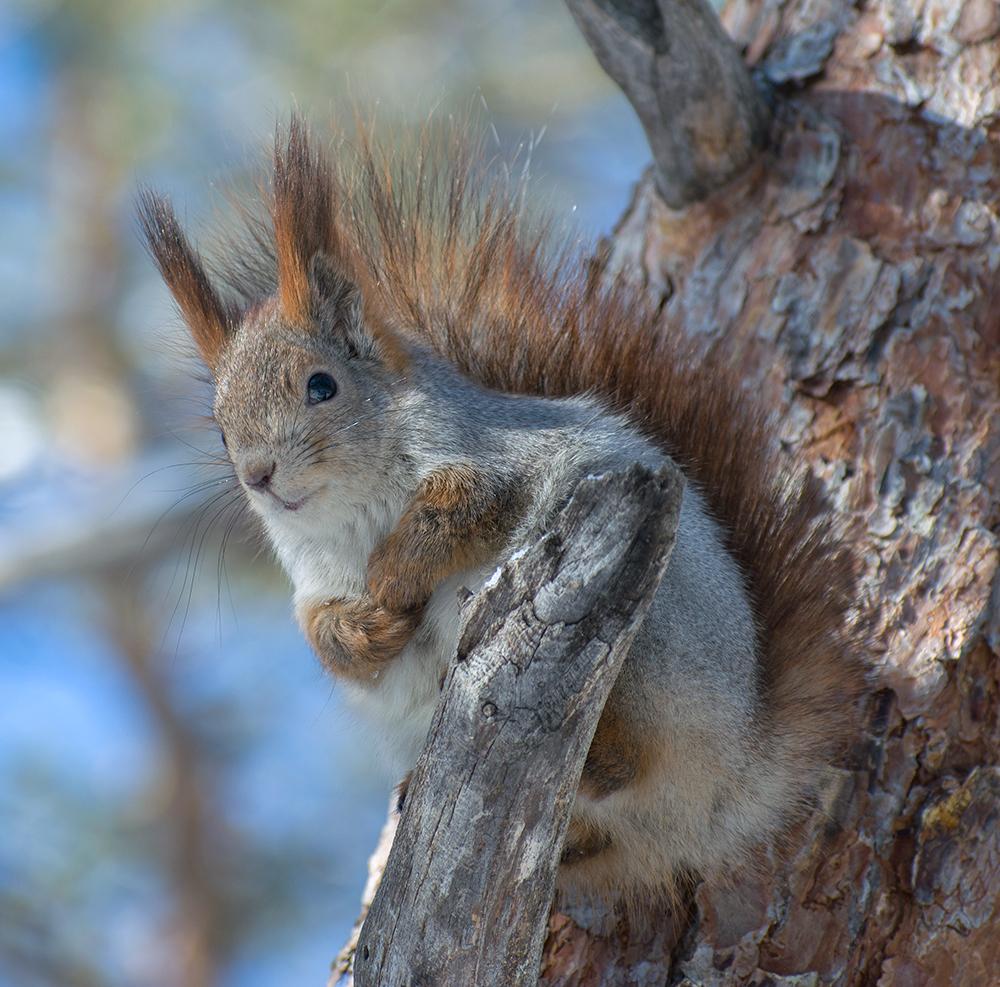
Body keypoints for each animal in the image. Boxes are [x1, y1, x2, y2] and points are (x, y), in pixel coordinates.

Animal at [137, 114, 864, 904]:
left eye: (321, 386)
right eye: (219, 425)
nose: (259, 474)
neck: (349, 516)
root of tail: (734, 774)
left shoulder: (502, 461)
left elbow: (465, 507)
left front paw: (393, 579)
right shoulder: (312, 576)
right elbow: (324, 634)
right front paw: (366, 628)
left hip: (651, 645)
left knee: (629, 758)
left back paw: (602, 753)